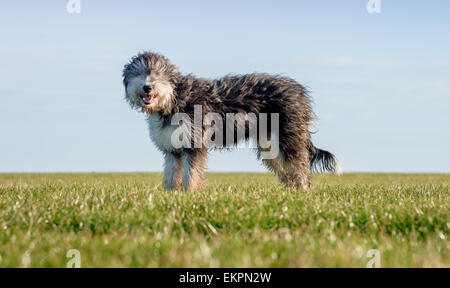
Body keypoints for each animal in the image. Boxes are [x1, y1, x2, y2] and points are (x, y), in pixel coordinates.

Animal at [123, 51, 342, 191]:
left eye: (158, 74)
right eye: (139, 73)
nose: (147, 87)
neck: (174, 98)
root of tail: (299, 93)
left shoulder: (194, 144)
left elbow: (191, 175)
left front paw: (189, 195)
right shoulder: (172, 149)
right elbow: (171, 176)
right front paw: (170, 196)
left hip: (290, 138)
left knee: (300, 167)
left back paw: (303, 191)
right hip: (271, 146)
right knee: (287, 171)